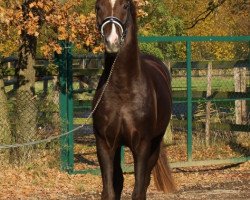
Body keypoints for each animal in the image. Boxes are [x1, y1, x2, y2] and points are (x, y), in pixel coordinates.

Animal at [93, 0, 175, 199]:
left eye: (125, 6)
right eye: (98, 7)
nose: (112, 41)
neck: (123, 88)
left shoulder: (142, 145)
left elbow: (138, 190)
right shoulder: (104, 144)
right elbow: (110, 190)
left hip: (154, 144)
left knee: (145, 181)